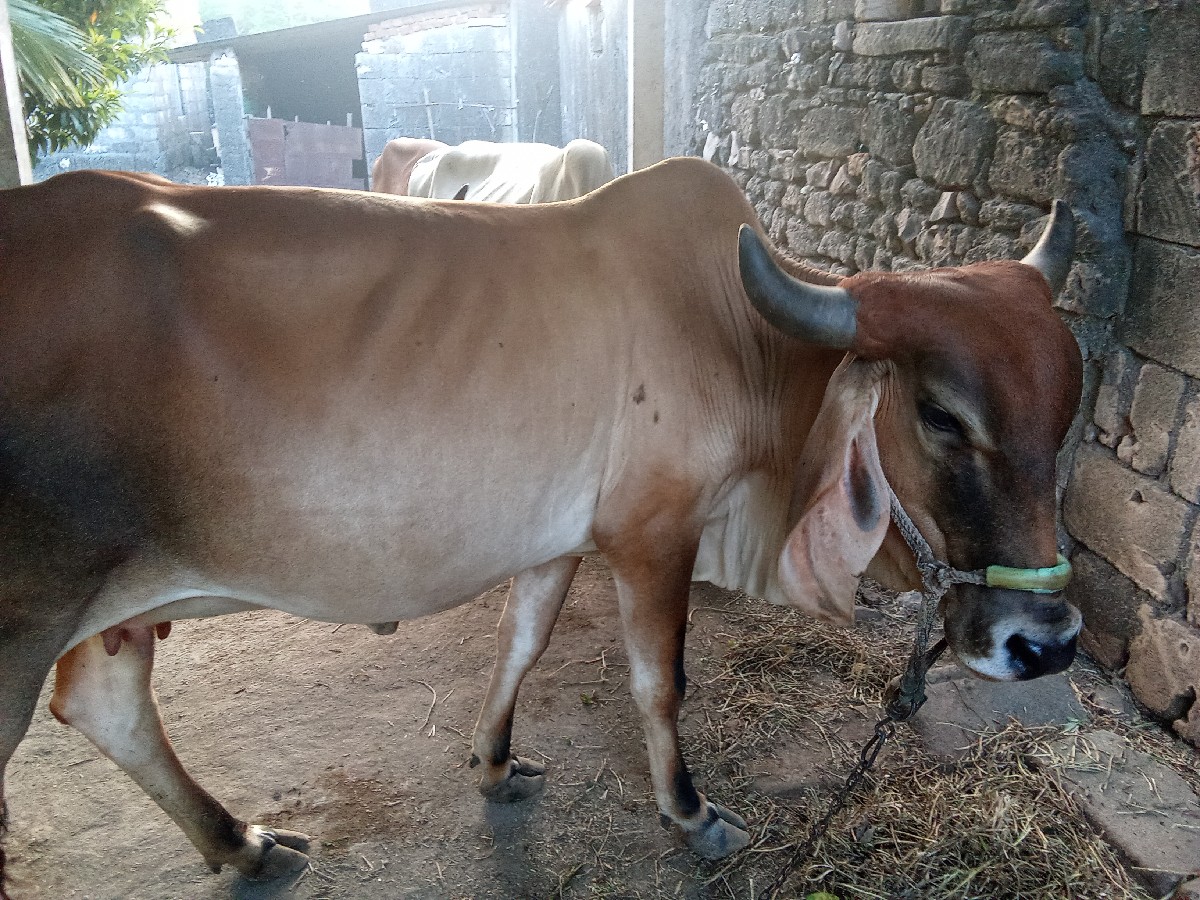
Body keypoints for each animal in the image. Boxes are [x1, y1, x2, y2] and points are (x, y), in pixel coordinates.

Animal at [0, 156, 1082, 892]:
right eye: (941, 415)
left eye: (1069, 414)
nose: (1050, 641)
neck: (739, 333)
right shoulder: (653, 534)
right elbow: (659, 682)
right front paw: (690, 813)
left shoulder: (560, 542)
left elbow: (521, 643)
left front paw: (494, 764)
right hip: (26, 621)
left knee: (105, 702)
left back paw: (243, 844)